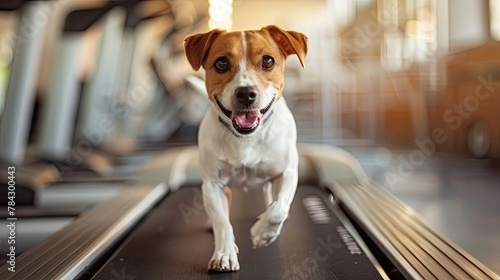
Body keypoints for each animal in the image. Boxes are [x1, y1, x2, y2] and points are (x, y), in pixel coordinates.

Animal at [185, 24, 308, 272]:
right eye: (221, 63)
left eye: (268, 61)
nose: (245, 93)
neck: (246, 138)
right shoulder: (212, 185)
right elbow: (222, 222)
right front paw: (224, 252)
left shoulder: (287, 173)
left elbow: (279, 208)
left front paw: (263, 233)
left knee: (273, 198)